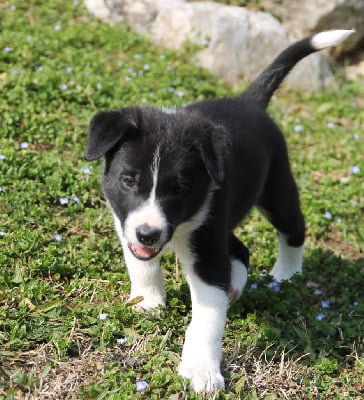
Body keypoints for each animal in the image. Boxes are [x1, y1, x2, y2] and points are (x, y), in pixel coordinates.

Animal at [84, 29, 352, 392]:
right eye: (128, 180)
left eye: (180, 189)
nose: (149, 234)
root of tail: (249, 101)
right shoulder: (126, 220)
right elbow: (140, 263)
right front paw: (147, 301)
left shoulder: (208, 245)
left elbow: (208, 316)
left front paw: (201, 370)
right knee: (240, 248)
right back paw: (238, 282)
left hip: (276, 190)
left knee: (293, 228)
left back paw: (286, 274)